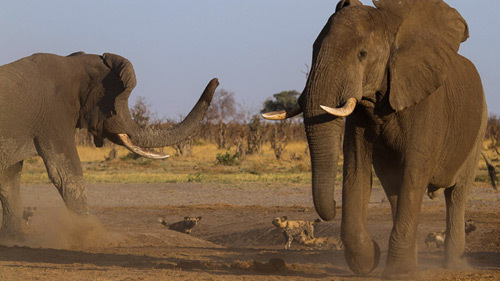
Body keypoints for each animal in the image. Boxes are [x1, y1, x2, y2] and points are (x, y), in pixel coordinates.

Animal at [0, 51, 219, 235]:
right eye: (114, 106)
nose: (216, 80)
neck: (74, 63)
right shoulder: (54, 115)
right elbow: (66, 174)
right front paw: (90, 236)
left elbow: (9, 178)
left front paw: (15, 239)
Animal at [264, 0, 486, 276]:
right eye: (314, 50)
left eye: (362, 54)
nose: (332, 205)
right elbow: (355, 168)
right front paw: (371, 260)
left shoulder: (427, 105)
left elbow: (415, 173)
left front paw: (400, 273)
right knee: (393, 190)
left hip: (479, 126)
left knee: (456, 194)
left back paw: (453, 265)